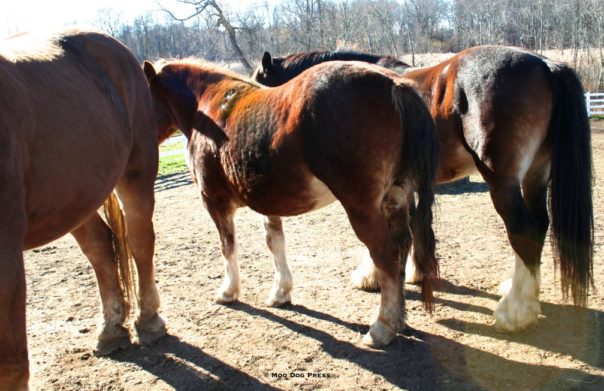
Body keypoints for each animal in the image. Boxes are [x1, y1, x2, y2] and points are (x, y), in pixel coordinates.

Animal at [0, 29, 165, 388]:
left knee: (139, 242)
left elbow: (11, 365)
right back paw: (112, 330)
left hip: (136, 172)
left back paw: (149, 321)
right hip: (78, 196)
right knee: (100, 247)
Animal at [144, 59, 442, 350]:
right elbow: (275, 243)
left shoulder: (215, 202)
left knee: (386, 254)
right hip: (396, 199)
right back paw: (399, 319)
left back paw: (382, 327)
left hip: (363, 208)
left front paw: (228, 292)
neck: (207, 108)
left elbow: (227, 246)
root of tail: (393, 85)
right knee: (402, 244)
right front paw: (281, 292)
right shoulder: (267, 204)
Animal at [251, 47, 596, 336]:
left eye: (258, 82)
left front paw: (372, 276)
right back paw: (523, 293)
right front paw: (414, 273)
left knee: (523, 231)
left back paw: (515, 313)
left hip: (502, 181)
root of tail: (547, 65)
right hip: (536, 174)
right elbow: (415, 226)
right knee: (539, 226)